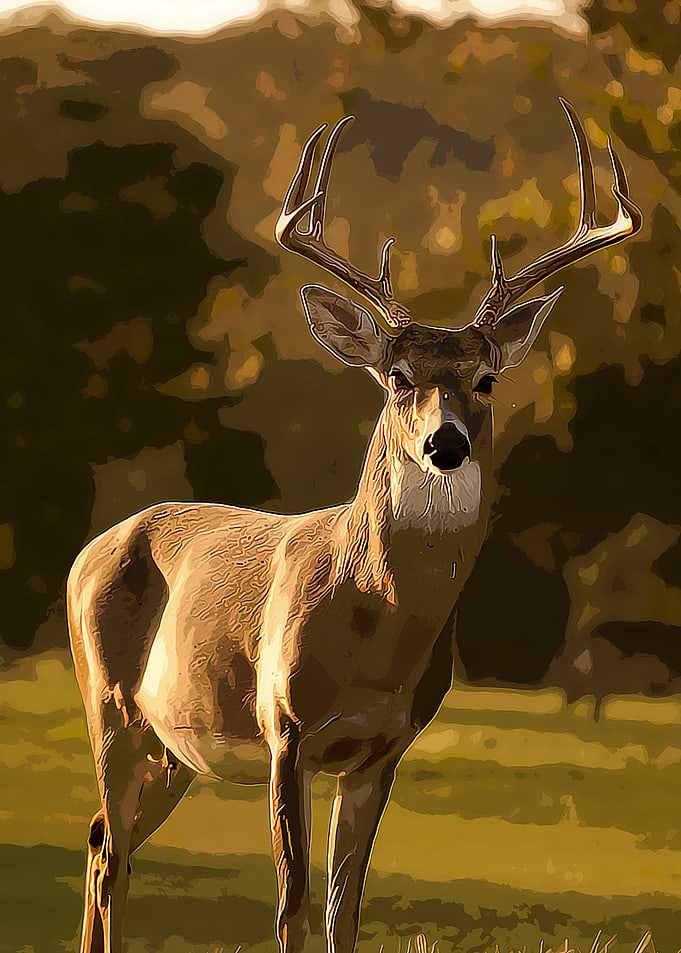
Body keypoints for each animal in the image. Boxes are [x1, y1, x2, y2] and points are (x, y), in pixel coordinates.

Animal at [66, 98, 641, 953]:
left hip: (173, 748)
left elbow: (345, 910)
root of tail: (88, 551)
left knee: (106, 840)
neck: (373, 625)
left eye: (485, 378)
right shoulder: (286, 727)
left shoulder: (381, 748)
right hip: (108, 702)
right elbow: (292, 907)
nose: (445, 443)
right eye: (396, 376)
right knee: (109, 851)